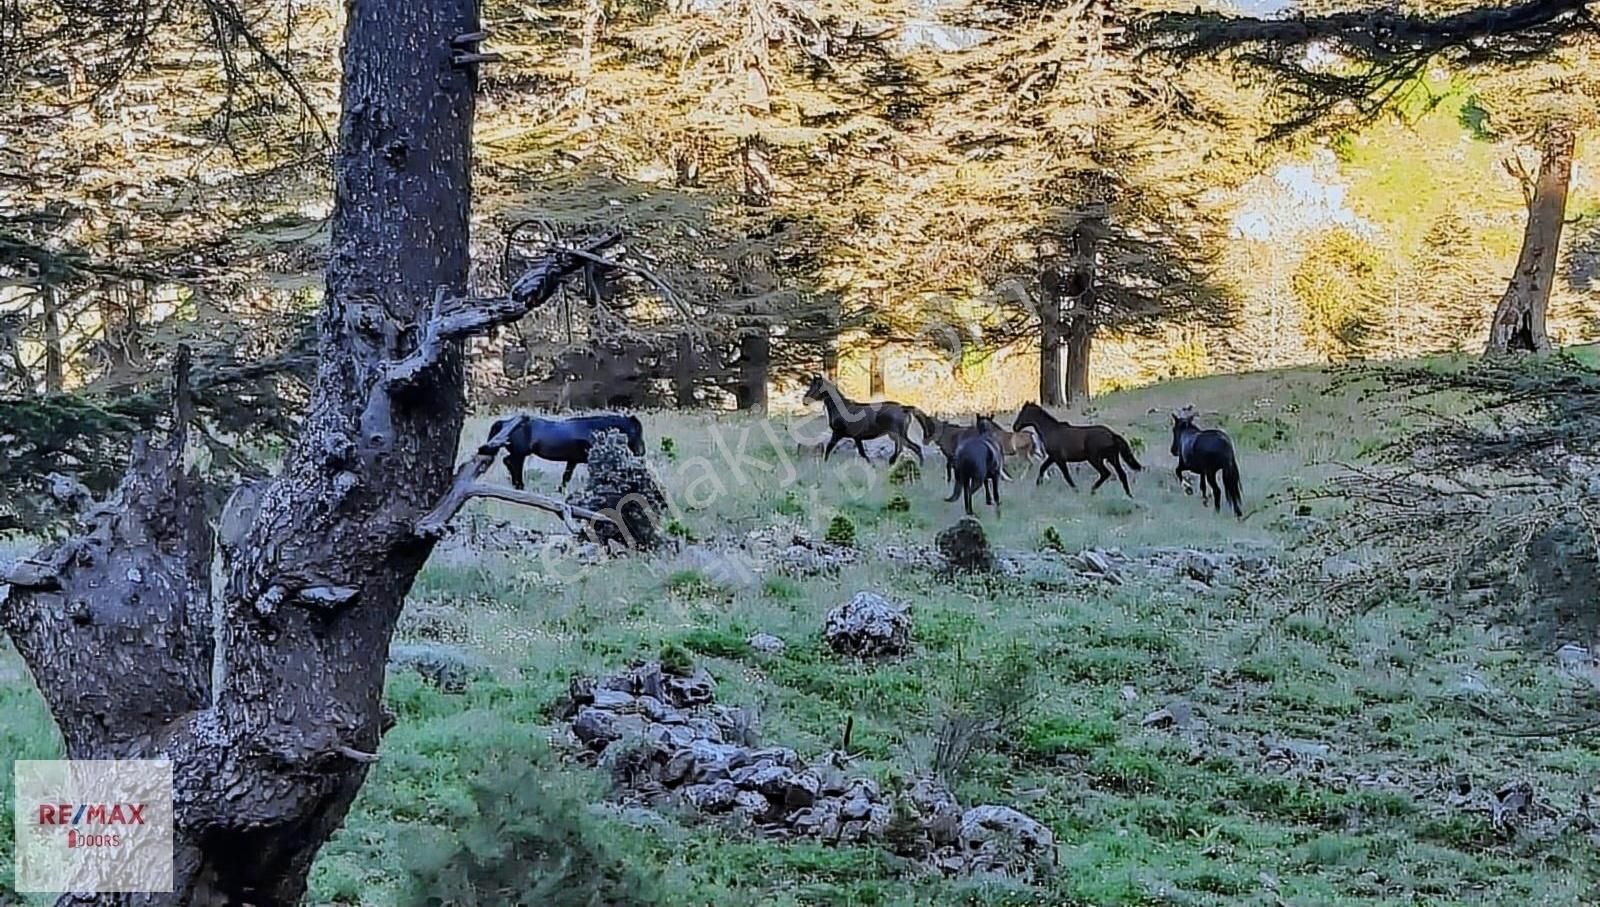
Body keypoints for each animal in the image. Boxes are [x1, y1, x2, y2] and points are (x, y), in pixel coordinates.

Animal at [483, 415, 646, 492]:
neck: (592, 430)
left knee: (509, 463)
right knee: (512, 463)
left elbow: (566, 476)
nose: (641, 451)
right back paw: (519, 486)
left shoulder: (572, 461)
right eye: (635, 431)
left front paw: (561, 491)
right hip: (520, 454)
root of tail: (505, 422)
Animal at [800, 374, 928, 463]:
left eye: (815, 386)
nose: (804, 400)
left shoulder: (838, 433)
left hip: (896, 434)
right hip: (900, 435)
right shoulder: (857, 438)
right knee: (916, 448)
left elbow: (829, 449)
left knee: (904, 448)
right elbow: (863, 454)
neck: (842, 408)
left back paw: (893, 461)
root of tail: (904, 408)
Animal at [1004, 401, 1145, 492]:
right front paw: (1038, 485)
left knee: (1106, 473)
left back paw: (1092, 490)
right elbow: (1043, 468)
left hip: (1095, 459)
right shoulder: (1052, 457)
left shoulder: (1058, 458)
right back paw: (1129, 495)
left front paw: (1075, 489)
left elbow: (1065, 475)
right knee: (1122, 474)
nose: (1015, 427)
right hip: (1112, 458)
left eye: (1023, 413)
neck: (1051, 430)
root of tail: (1111, 434)